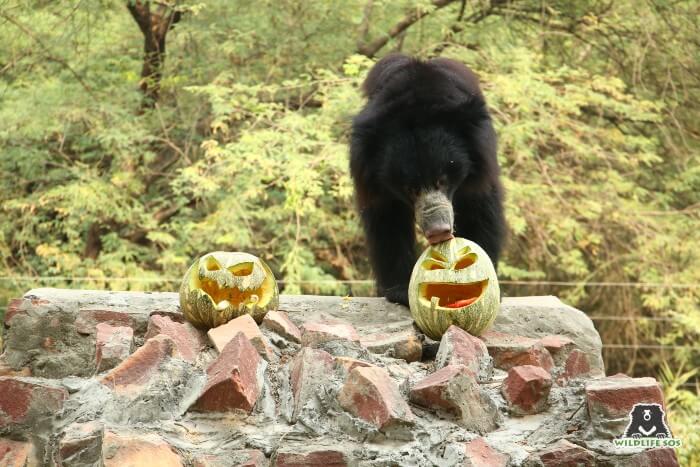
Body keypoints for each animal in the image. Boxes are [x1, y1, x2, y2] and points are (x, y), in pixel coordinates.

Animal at [348, 54, 504, 308]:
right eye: (410, 189)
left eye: (442, 180)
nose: (439, 231)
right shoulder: (375, 183)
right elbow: (388, 223)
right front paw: (399, 290)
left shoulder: (480, 164)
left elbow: (480, 210)